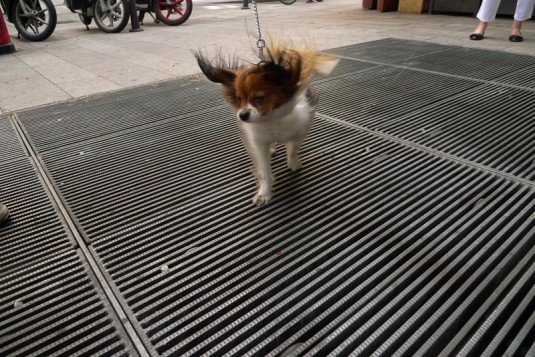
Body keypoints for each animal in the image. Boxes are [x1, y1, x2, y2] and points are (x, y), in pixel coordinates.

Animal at [196, 40, 340, 204]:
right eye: (239, 99)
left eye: (259, 99)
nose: (242, 115)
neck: (271, 118)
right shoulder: (259, 144)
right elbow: (264, 171)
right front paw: (264, 193)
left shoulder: (300, 132)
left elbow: (293, 150)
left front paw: (293, 163)